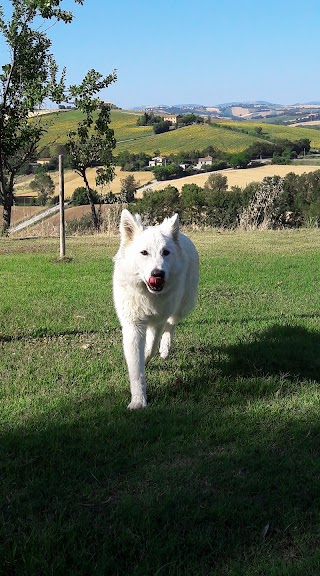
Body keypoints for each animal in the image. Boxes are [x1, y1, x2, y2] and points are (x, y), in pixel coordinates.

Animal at [112, 209, 198, 408]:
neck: (148, 293)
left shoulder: (158, 321)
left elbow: (151, 347)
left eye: (165, 252)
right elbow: (136, 370)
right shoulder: (134, 326)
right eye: (144, 253)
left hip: (181, 305)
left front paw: (148, 355)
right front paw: (138, 401)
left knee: (171, 325)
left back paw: (165, 349)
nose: (157, 274)